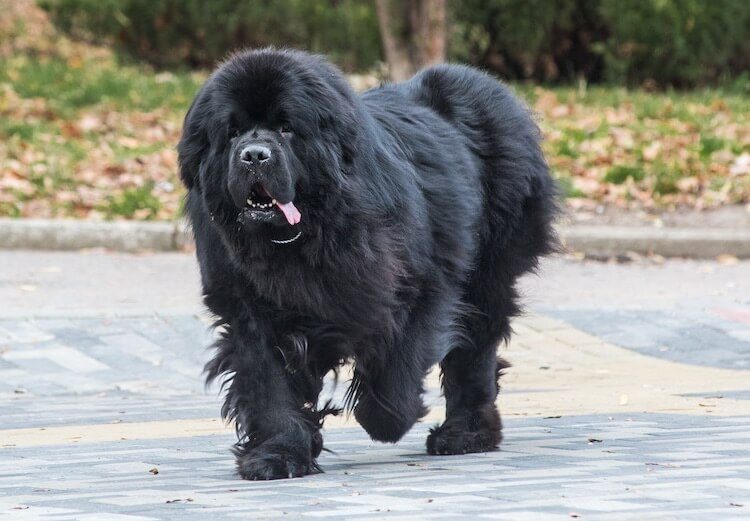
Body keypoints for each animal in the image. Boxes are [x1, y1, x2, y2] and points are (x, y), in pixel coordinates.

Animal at [179, 48, 560, 480]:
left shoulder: (419, 287)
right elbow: (270, 387)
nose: (254, 154)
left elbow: (396, 373)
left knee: (474, 352)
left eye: (286, 129)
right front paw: (278, 455)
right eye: (232, 132)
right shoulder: (249, 311)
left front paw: (384, 419)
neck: (302, 237)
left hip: (489, 273)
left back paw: (465, 435)